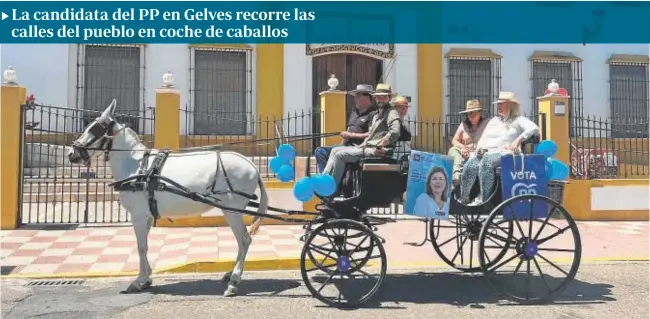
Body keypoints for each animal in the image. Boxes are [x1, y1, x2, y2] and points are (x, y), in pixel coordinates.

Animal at [67, 100, 268, 298]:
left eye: (94, 128)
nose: (71, 153)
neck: (138, 167)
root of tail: (252, 166)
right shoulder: (147, 216)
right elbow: (144, 245)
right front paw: (146, 278)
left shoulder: (138, 216)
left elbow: (141, 246)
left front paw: (139, 281)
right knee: (243, 241)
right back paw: (230, 274)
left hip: (232, 210)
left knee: (244, 240)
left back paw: (234, 281)